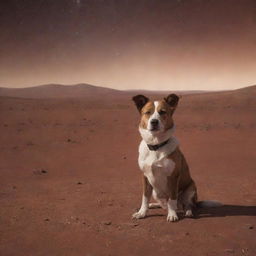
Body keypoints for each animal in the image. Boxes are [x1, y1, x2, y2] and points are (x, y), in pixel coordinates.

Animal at [132, 93, 220, 221]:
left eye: (162, 112)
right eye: (148, 112)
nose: (154, 122)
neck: (156, 146)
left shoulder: (173, 177)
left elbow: (172, 199)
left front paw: (172, 215)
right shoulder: (145, 177)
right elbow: (145, 198)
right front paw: (142, 212)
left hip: (190, 189)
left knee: (188, 205)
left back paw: (187, 212)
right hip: (155, 191)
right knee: (163, 204)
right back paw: (154, 204)